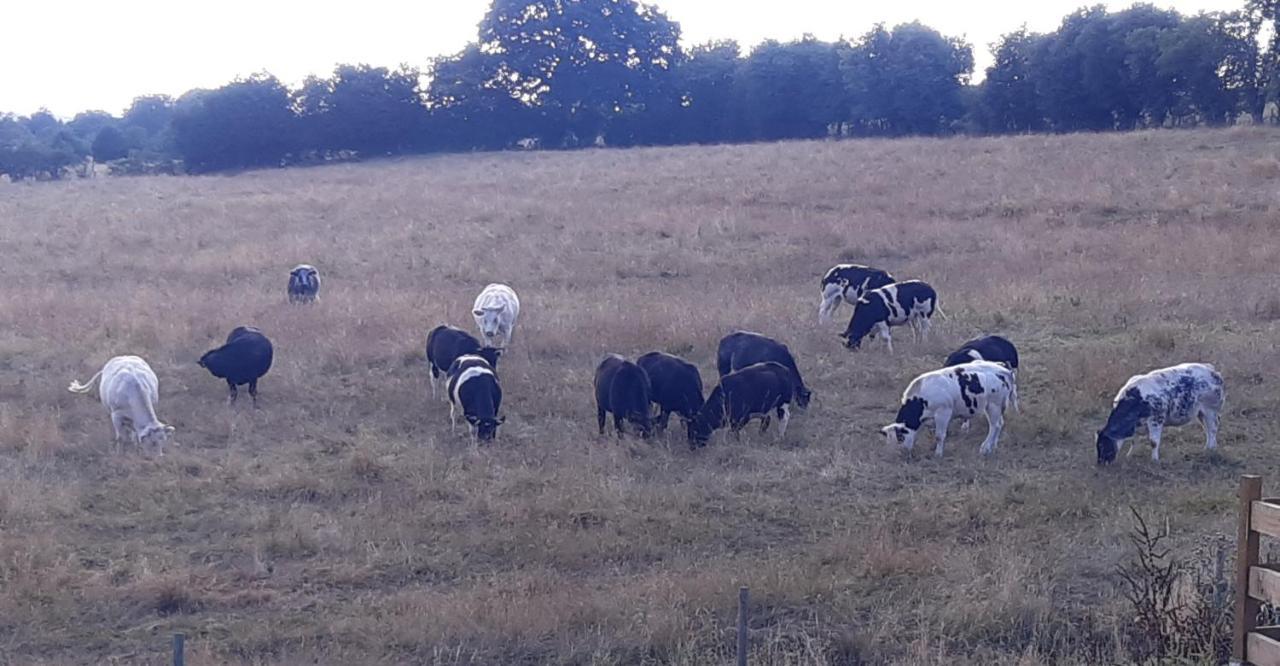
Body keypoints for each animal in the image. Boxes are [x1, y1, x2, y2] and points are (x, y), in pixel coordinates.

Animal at [880, 358, 1018, 458]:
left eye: (900, 437)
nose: (898, 454)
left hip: (993, 405)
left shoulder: (943, 412)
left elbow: (939, 435)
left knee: (994, 426)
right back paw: (993, 446)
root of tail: (1004, 369)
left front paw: (938, 454)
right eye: (888, 441)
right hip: (997, 406)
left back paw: (985, 448)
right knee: (1000, 424)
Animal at [1095, 361, 1223, 466]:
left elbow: (1153, 442)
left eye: (1102, 444)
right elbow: (1134, 441)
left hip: (1210, 410)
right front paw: (1129, 455)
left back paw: (1211, 448)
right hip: (1201, 413)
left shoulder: (1156, 419)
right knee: (1207, 429)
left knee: (1212, 429)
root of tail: (1211, 369)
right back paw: (1209, 448)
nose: (1100, 463)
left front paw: (1154, 460)